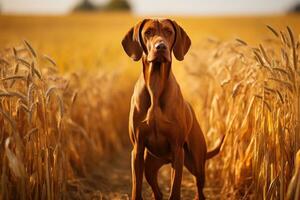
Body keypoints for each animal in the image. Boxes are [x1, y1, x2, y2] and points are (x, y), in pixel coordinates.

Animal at [122, 18, 225, 200]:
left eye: (168, 31)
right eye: (148, 32)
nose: (161, 47)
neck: (155, 86)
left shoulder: (177, 150)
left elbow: (175, 189)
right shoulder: (137, 149)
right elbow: (136, 187)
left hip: (196, 163)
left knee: (200, 189)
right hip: (149, 166)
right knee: (157, 191)